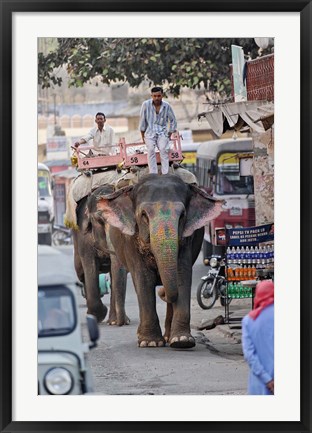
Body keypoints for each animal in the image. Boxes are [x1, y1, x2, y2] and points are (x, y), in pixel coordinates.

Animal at [72, 184, 129, 326]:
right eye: (100, 219)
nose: (122, 323)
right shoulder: (84, 238)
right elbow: (90, 267)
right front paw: (99, 315)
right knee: (81, 272)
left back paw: (113, 321)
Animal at [91, 173, 223, 348]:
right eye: (144, 215)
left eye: (182, 215)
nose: (162, 291)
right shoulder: (130, 240)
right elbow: (143, 278)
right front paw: (150, 342)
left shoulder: (188, 239)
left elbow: (182, 274)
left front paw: (182, 341)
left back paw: (168, 337)